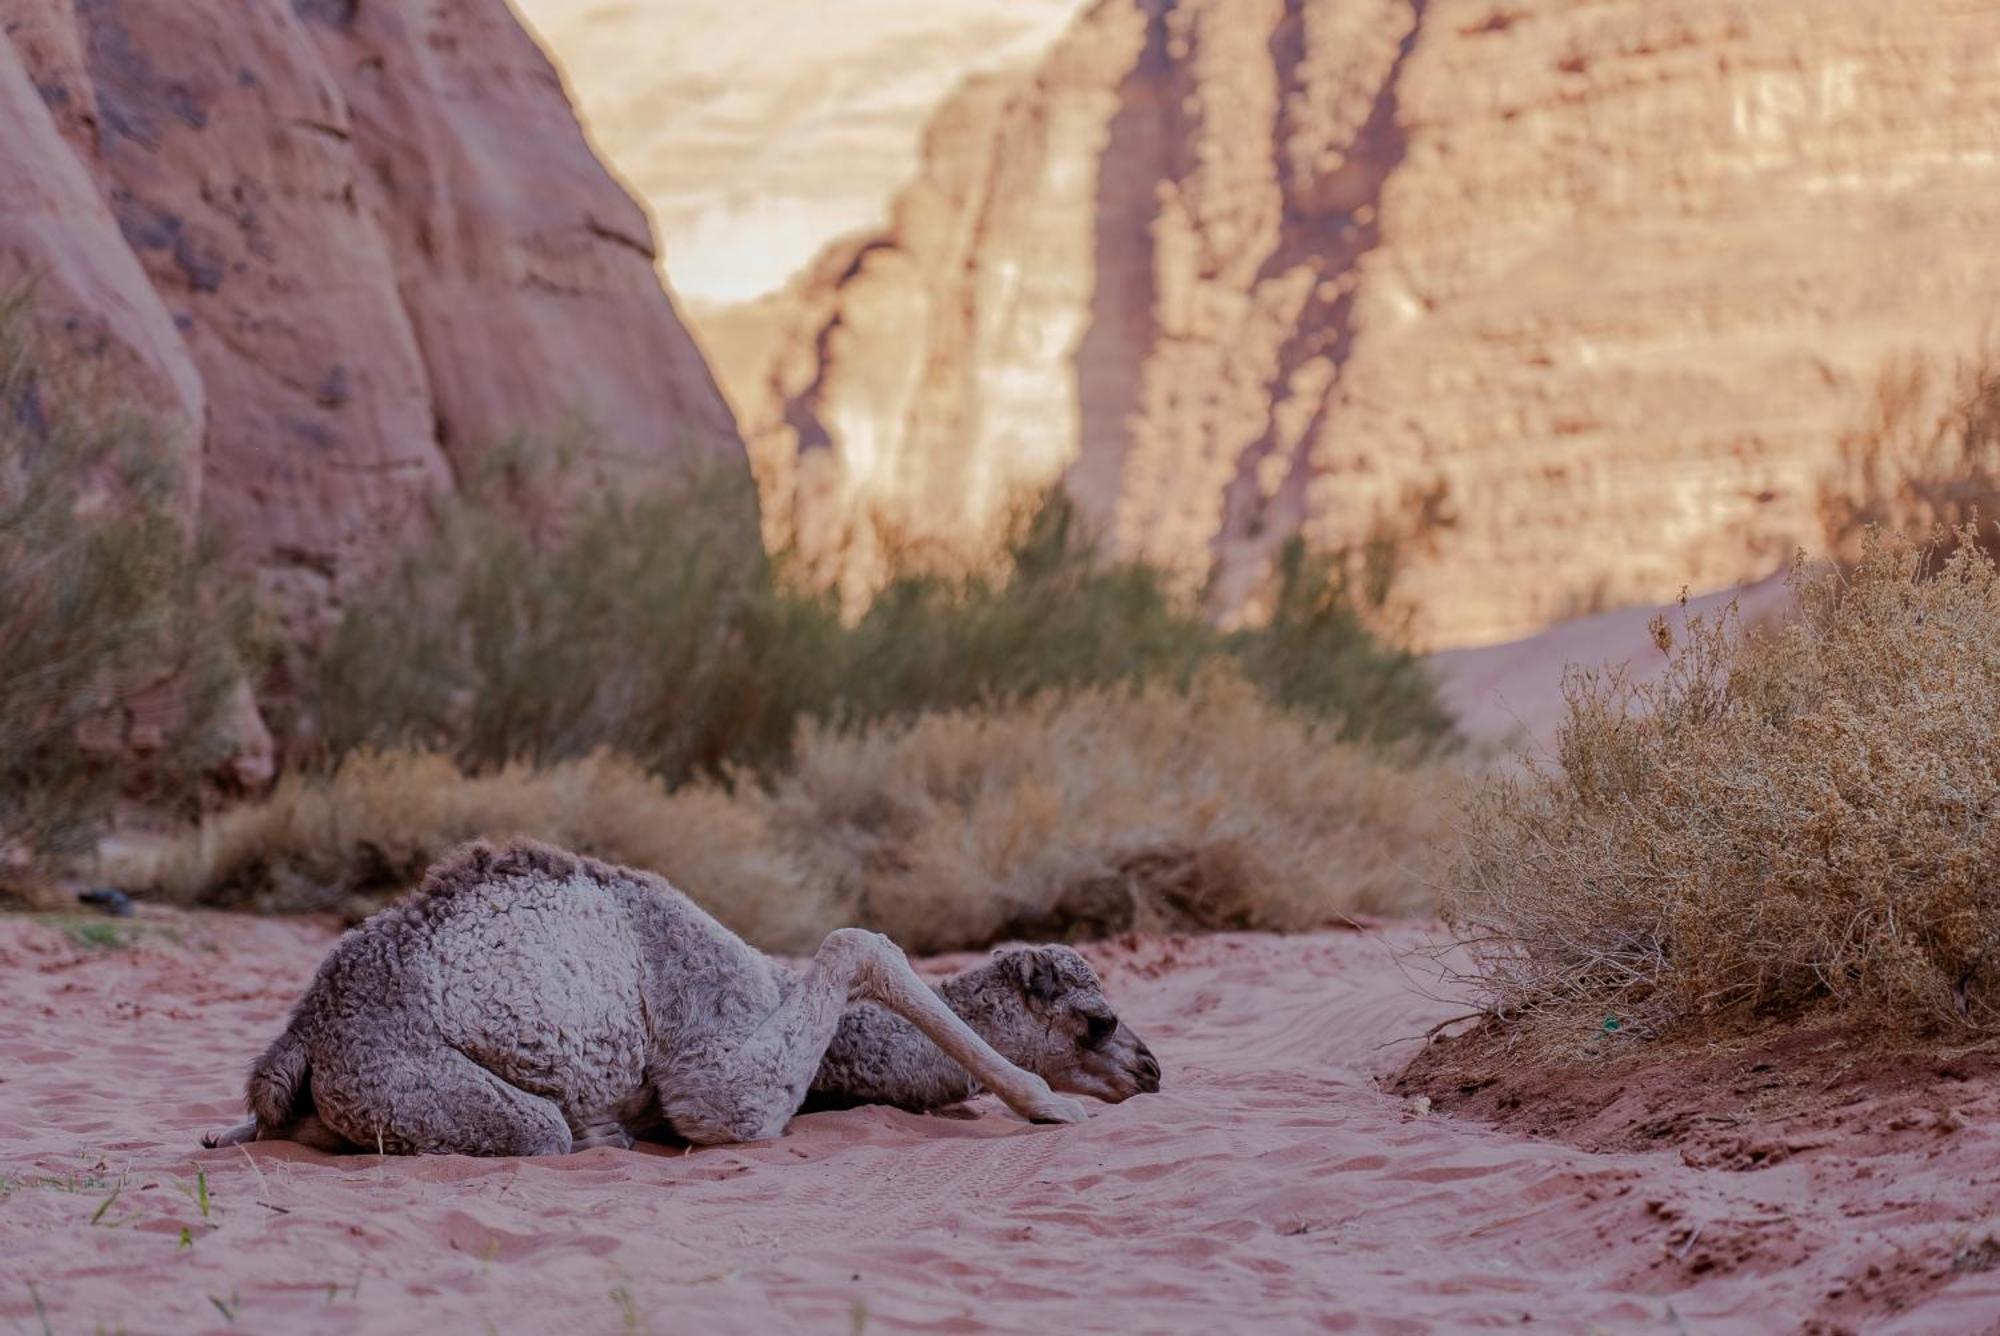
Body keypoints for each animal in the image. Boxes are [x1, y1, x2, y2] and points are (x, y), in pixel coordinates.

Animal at [203, 840, 1160, 1152]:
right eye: (1097, 1020)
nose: (1150, 1068)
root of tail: (302, 1036)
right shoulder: (713, 1071)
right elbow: (860, 943)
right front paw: (1048, 1105)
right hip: (420, 1084)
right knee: (543, 1130)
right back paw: (600, 1135)